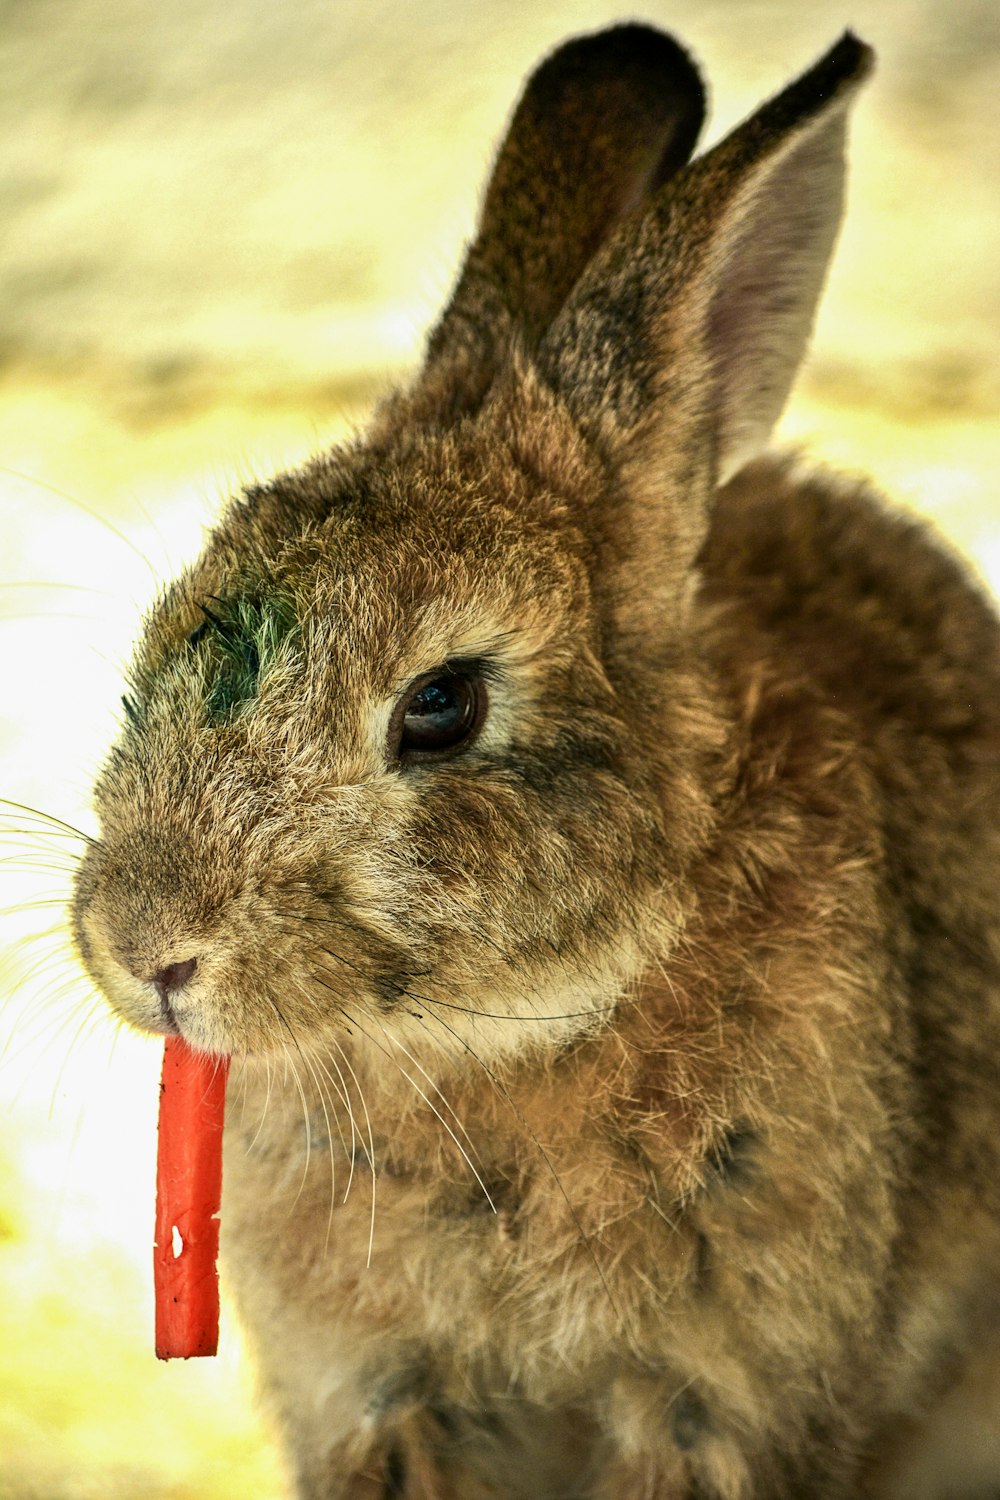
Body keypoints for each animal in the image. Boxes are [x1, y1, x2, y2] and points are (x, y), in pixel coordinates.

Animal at [68, 23, 1000, 1500]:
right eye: (161, 632)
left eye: (442, 706)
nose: (141, 944)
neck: (495, 1045)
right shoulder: (377, 1387)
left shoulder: (718, 1396)